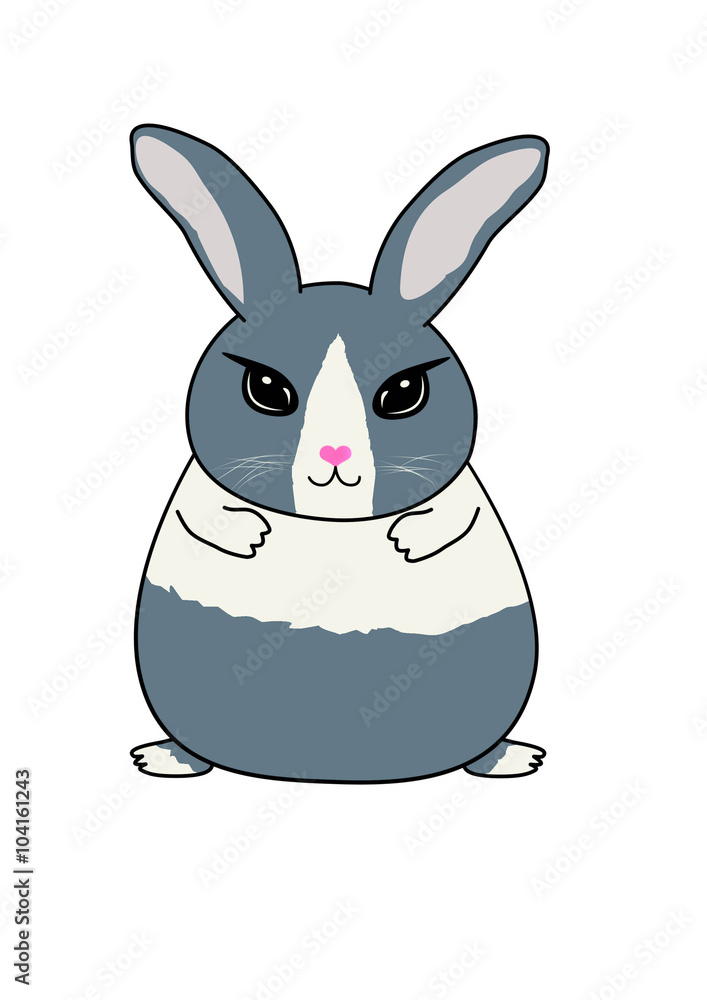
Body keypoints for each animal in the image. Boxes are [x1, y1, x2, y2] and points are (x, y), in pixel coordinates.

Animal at [128, 124, 549, 784]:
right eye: (266, 389)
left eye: (404, 392)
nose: (336, 453)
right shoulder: (195, 493)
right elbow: (206, 513)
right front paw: (251, 536)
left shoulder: (466, 499)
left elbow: (455, 515)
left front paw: (408, 540)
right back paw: (165, 757)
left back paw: (512, 758)